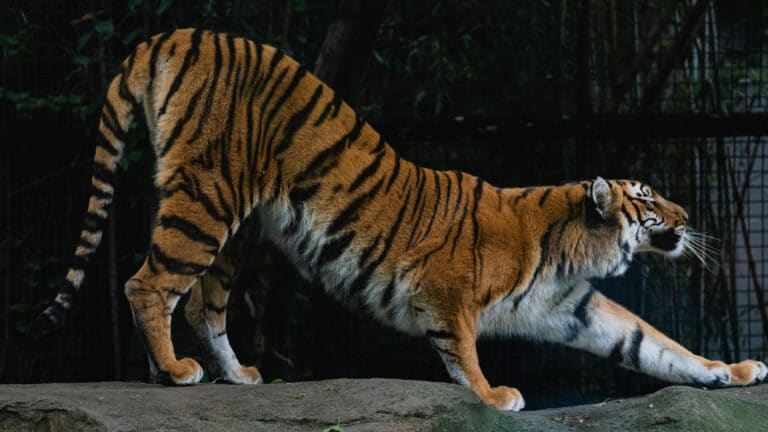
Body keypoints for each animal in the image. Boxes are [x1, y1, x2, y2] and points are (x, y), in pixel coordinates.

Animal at [36, 29, 767, 411]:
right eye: (648, 197)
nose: (688, 213)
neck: (572, 248)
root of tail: (181, 31)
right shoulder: (444, 289)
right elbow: (461, 347)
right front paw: (495, 396)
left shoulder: (576, 307)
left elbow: (655, 344)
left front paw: (733, 372)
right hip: (207, 200)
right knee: (147, 282)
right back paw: (176, 371)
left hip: (234, 228)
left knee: (201, 303)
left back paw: (231, 376)